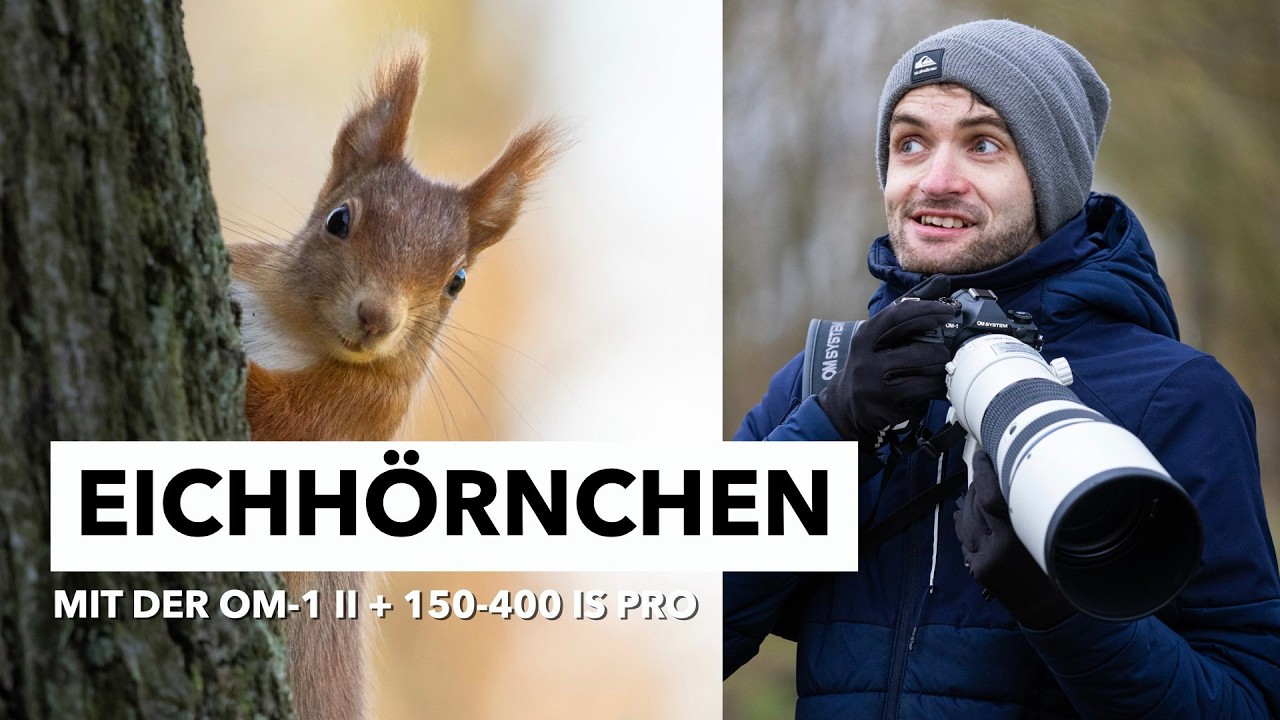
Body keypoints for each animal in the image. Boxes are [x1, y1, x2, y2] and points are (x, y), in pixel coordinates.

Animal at [227, 38, 561, 719]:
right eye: (339, 219)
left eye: (457, 280)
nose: (376, 317)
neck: (296, 329)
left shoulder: (358, 413)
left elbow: (278, 419)